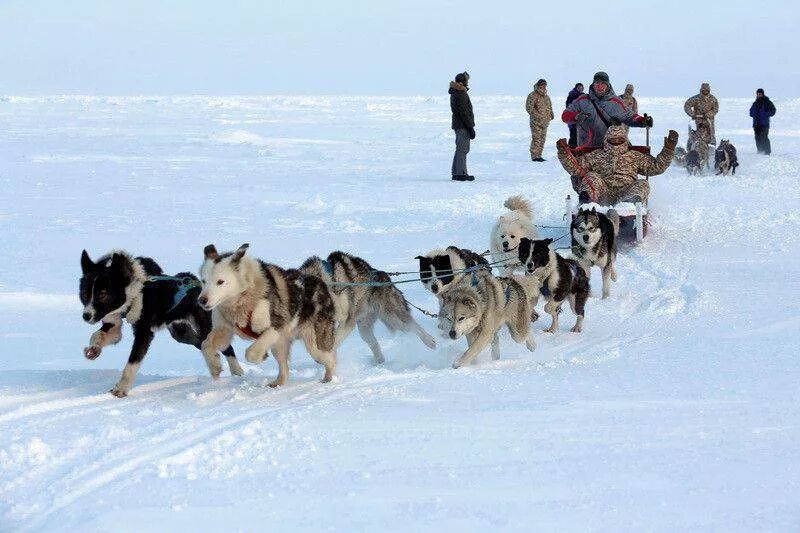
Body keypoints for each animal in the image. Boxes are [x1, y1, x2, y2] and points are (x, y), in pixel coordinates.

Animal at [78, 249, 242, 394]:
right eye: (85, 294)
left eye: (102, 294)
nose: (86, 316)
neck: (134, 292)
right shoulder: (113, 324)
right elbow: (97, 335)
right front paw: (93, 350)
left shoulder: (144, 334)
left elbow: (132, 363)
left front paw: (121, 388)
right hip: (181, 333)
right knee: (203, 344)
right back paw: (215, 364)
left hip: (205, 327)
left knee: (226, 347)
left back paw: (236, 372)